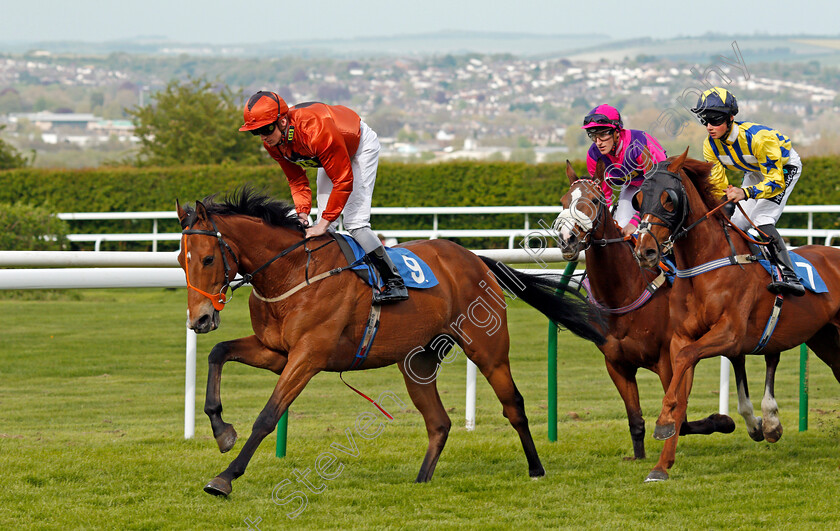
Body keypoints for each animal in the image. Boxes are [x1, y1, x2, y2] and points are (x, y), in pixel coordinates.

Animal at [176, 189, 604, 496]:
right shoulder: (277, 352)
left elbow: (268, 416)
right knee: (439, 422)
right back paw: (421, 480)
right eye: (181, 259)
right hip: (417, 362)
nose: (200, 319)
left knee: (513, 405)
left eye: (209, 259)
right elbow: (218, 353)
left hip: (488, 349)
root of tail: (475, 258)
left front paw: (225, 477)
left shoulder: (308, 356)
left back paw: (536, 469)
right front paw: (222, 430)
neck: (293, 272)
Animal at [556, 160, 740, 472]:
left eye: (595, 201)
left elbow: (680, 418)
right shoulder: (617, 365)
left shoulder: (668, 360)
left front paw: (723, 420)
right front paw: (638, 455)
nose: (567, 239)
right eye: (563, 201)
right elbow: (636, 419)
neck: (625, 291)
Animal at [632, 149, 840, 482]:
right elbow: (681, 379)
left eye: (668, 199)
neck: (706, 263)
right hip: (825, 340)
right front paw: (661, 466)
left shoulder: (729, 334)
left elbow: (686, 361)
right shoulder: (682, 338)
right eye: (639, 198)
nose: (645, 251)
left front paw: (662, 423)